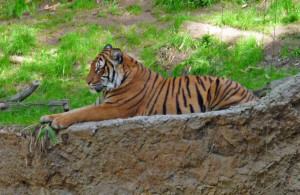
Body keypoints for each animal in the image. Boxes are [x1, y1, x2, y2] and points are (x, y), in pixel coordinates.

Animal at [40, 44, 258, 129]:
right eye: (91, 67)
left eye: (99, 69)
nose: (87, 82)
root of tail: (253, 95)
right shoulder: (99, 104)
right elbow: (76, 109)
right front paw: (47, 117)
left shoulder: (114, 108)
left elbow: (80, 113)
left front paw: (58, 122)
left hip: (219, 86)